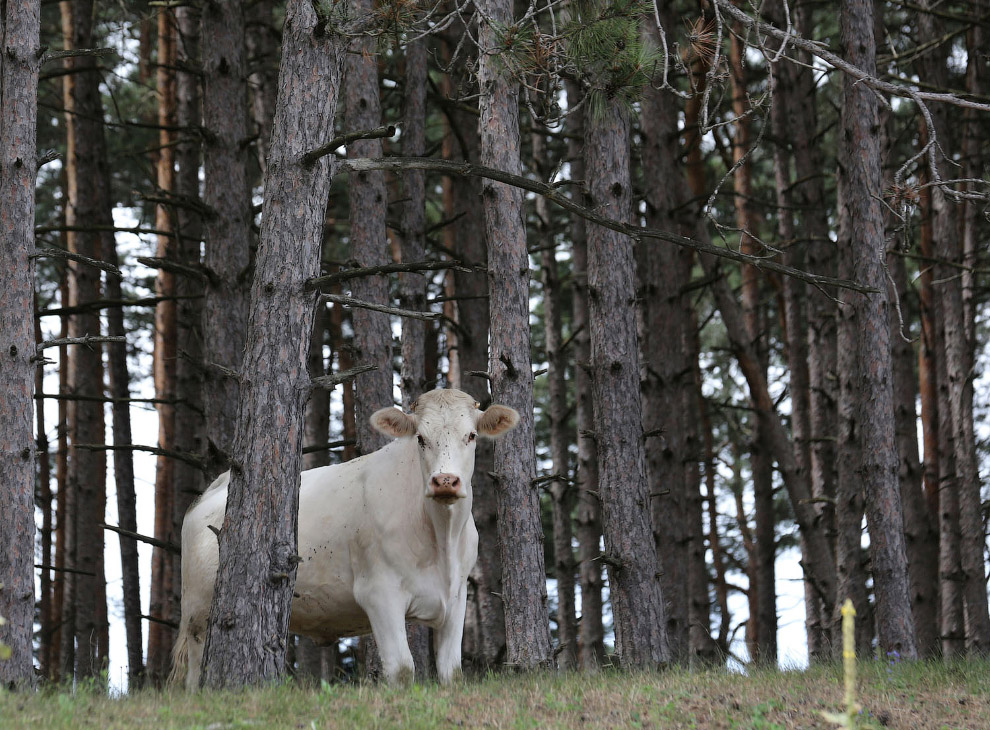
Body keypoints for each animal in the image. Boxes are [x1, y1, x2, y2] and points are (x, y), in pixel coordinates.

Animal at [170, 386, 520, 688]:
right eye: (421, 438)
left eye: (471, 435)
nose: (445, 481)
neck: (441, 539)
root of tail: (215, 487)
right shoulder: (378, 592)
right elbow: (402, 669)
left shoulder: (456, 597)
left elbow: (452, 673)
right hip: (198, 614)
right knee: (194, 676)